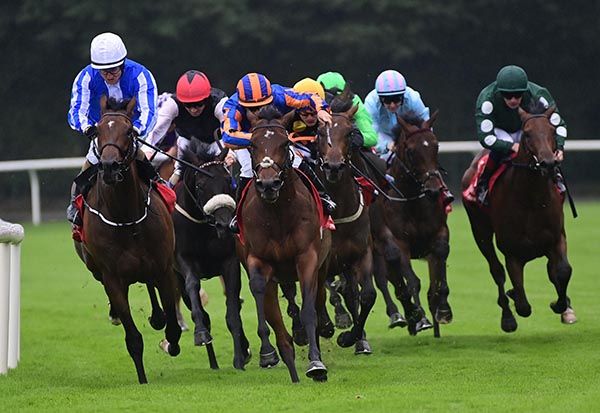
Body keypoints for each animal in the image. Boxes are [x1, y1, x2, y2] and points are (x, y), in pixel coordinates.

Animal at [73, 95, 180, 382]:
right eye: (96, 131)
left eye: (130, 131)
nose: (109, 167)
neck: (126, 217)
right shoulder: (112, 277)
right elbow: (133, 339)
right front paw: (142, 380)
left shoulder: (164, 268)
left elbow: (173, 327)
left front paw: (171, 340)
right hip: (96, 269)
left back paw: (157, 316)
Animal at [171, 138, 251, 366]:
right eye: (200, 185)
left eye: (228, 181)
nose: (224, 224)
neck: (203, 227)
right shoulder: (183, 261)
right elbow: (193, 286)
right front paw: (201, 333)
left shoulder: (230, 262)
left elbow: (232, 310)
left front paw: (240, 356)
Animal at [236, 104, 330, 382]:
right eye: (252, 144)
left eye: (285, 142)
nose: (268, 184)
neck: (277, 214)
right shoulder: (258, 260)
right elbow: (260, 294)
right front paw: (267, 352)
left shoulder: (307, 257)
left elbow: (309, 311)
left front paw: (316, 364)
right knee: (277, 320)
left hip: (322, 265)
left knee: (318, 301)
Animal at [372, 111, 452, 336]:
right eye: (410, 150)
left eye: (436, 145)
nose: (433, 189)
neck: (413, 201)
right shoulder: (399, 242)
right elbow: (411, 281)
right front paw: (420, 317)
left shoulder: (439, 233)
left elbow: (438, 275)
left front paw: (443, 309)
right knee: (388, 279)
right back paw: (405, 316)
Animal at [462, 104, 576, 332]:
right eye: (528, 133)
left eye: (552, 131)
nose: (548, 163)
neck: (532, 199)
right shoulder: (512, 252)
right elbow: (523, 305)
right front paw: (513, 301)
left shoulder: (556, 238)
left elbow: (562, 271)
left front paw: (562, 306)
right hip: (480, 230)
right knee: (496, 270)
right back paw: (507, 316)